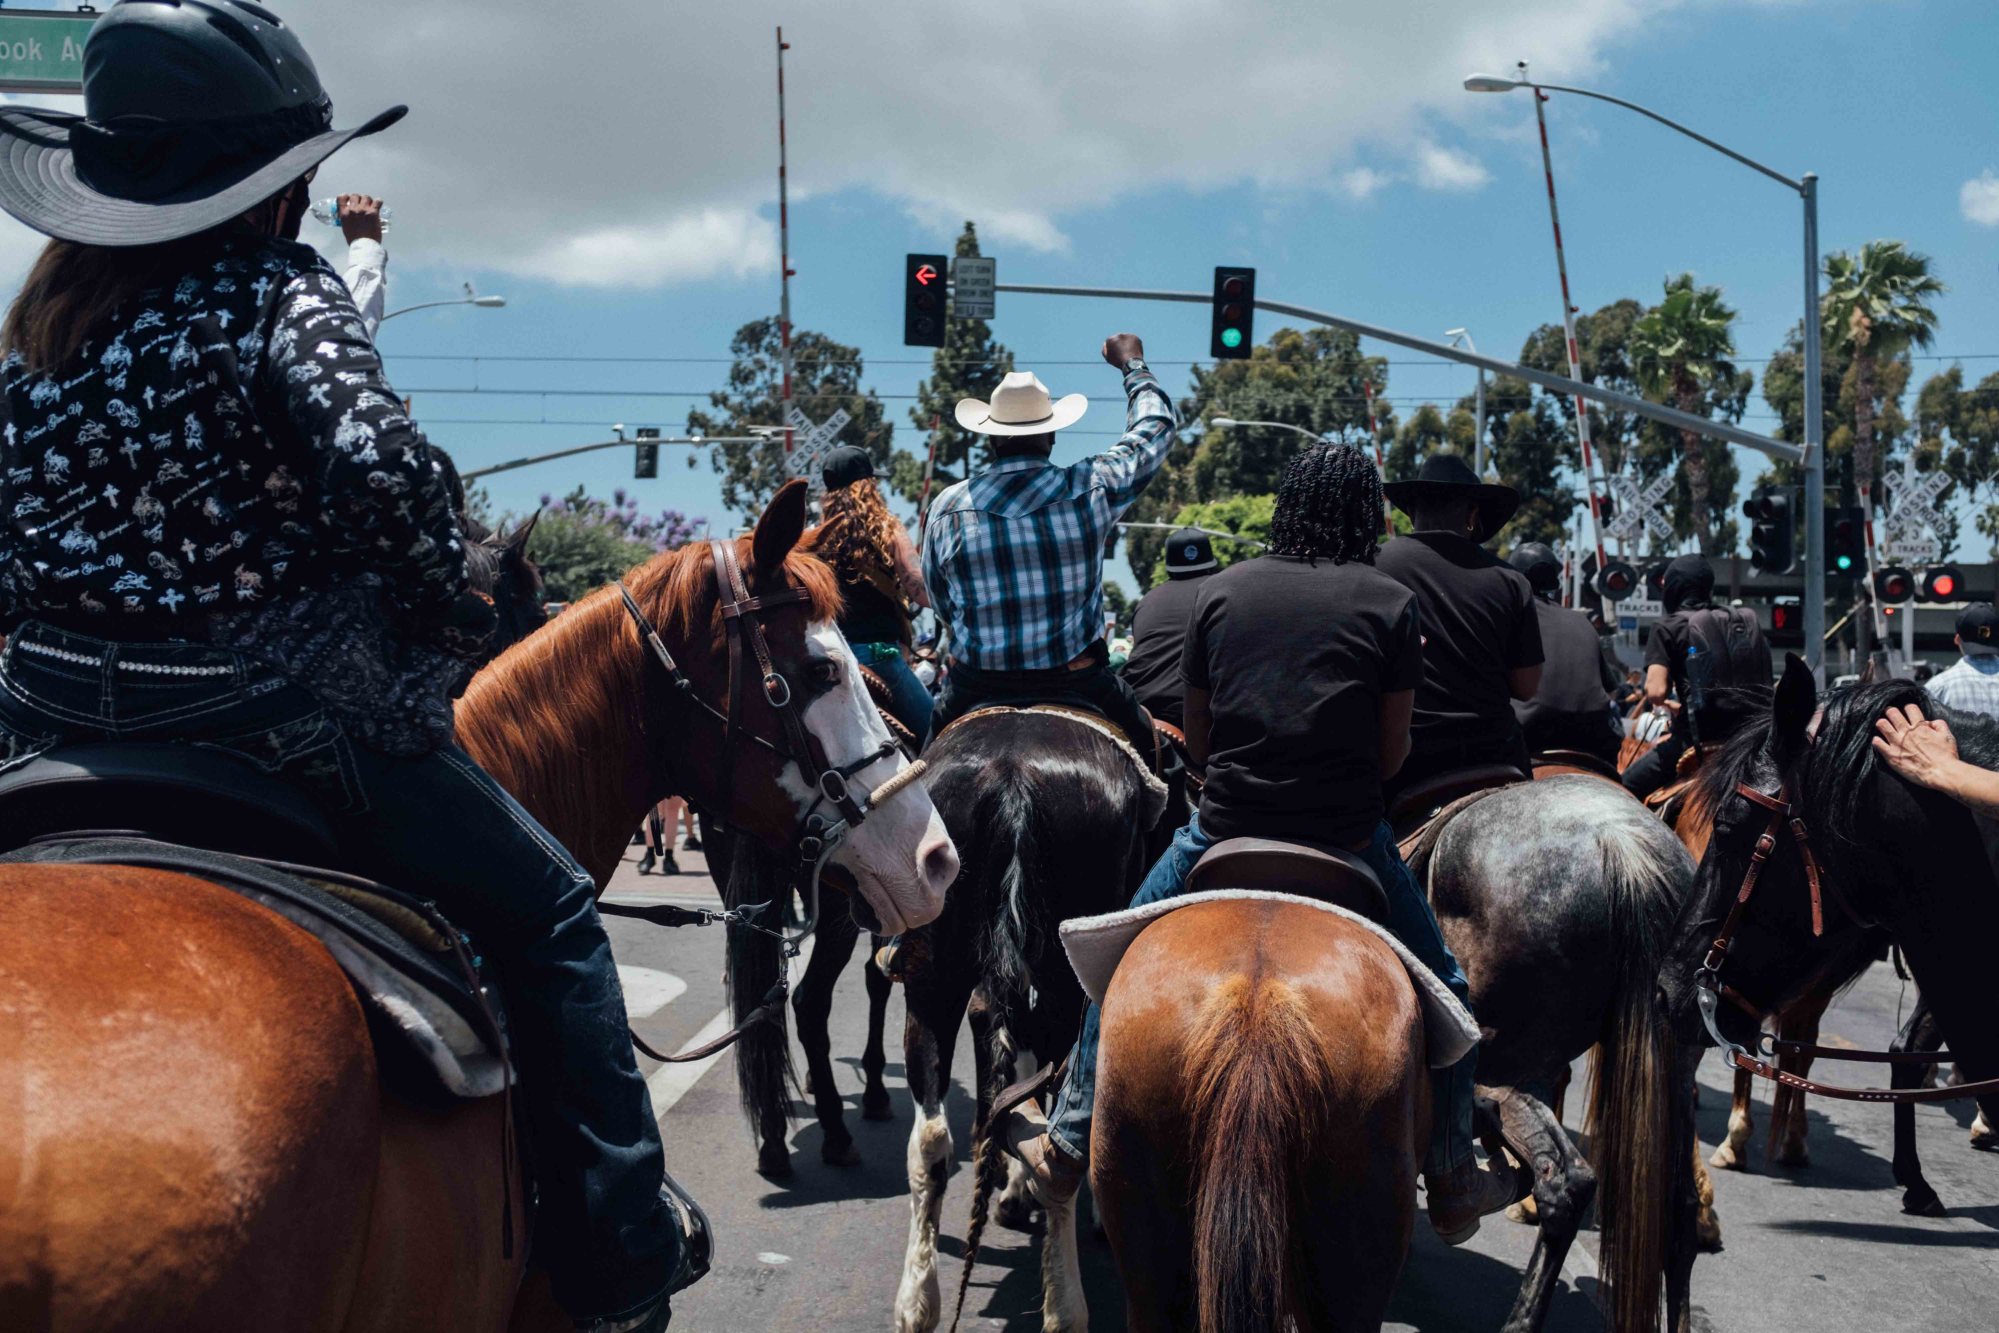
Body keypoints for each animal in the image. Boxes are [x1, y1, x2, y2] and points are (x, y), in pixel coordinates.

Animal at [895, 715, 1167, 1333]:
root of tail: (1012, 775)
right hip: (1068, 984)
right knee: (1057, 1140)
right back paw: (1064, 1307)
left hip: (933, 978)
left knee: (931, 1138)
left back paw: (918, 1303)